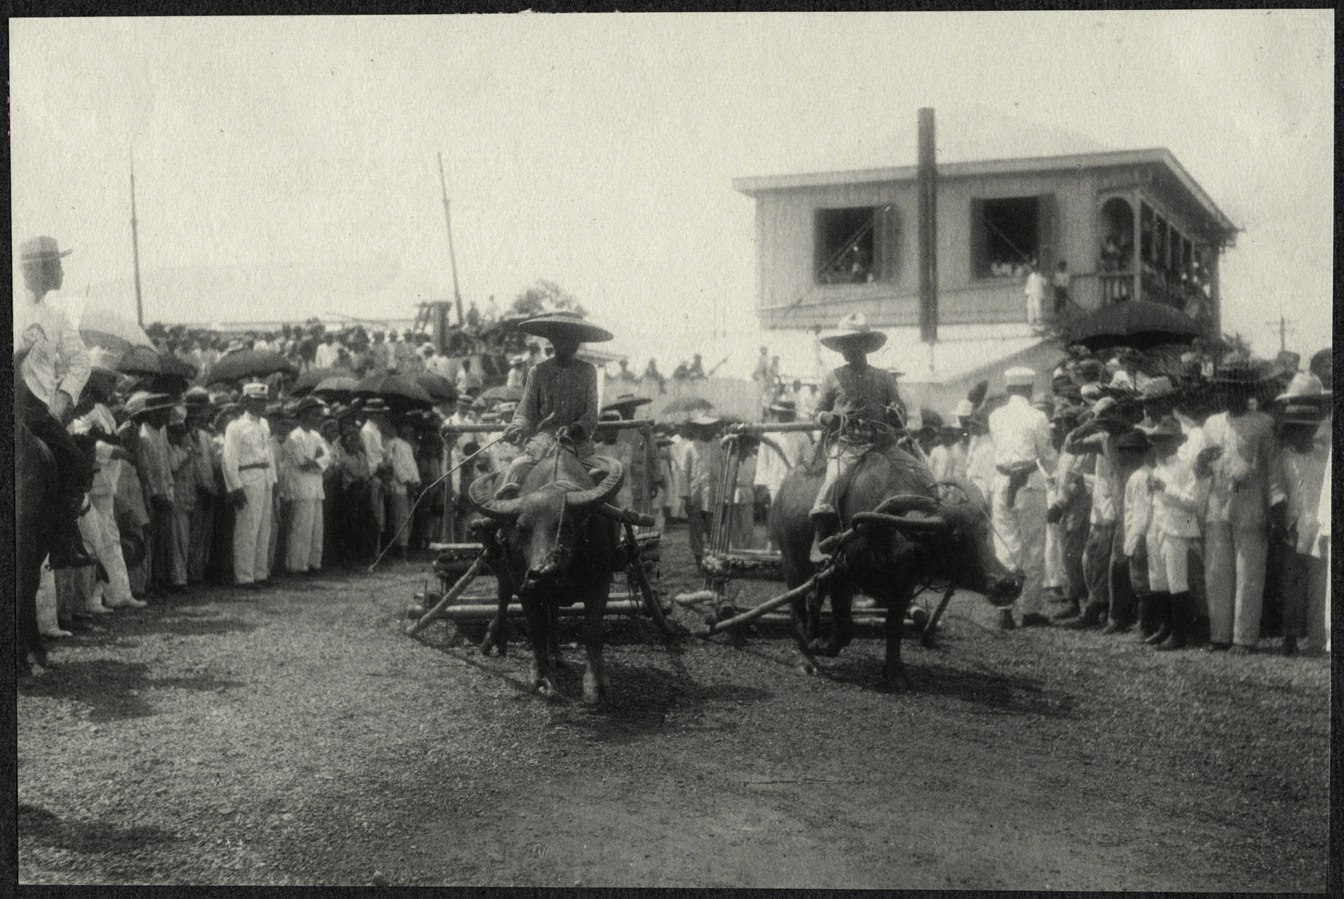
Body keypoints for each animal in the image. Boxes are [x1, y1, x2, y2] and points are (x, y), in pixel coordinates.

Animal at [467, 446, 623, 704]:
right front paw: (541, 679)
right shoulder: (524, 585)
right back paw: (492, 640)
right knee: (503, 598)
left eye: (566, 524)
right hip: (501, 568)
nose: (542, 573)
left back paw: (556, 654)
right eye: (521, 528)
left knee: (553, 613)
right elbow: (536, 629)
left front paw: (597, 685)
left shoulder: (602, 581)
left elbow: (592, 630)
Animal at [768, 443, 1016, 688]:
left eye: (984, 532)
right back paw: (807, 661)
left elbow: (894, 627)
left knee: (813, 600)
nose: (1008, 582)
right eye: (956, 538)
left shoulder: (904, 585)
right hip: (792, 565)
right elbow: (845, 629)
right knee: (797, 610)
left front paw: (895, 674)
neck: (887, 534)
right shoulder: (841, 576)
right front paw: (821, 646)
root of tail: (782, 491)